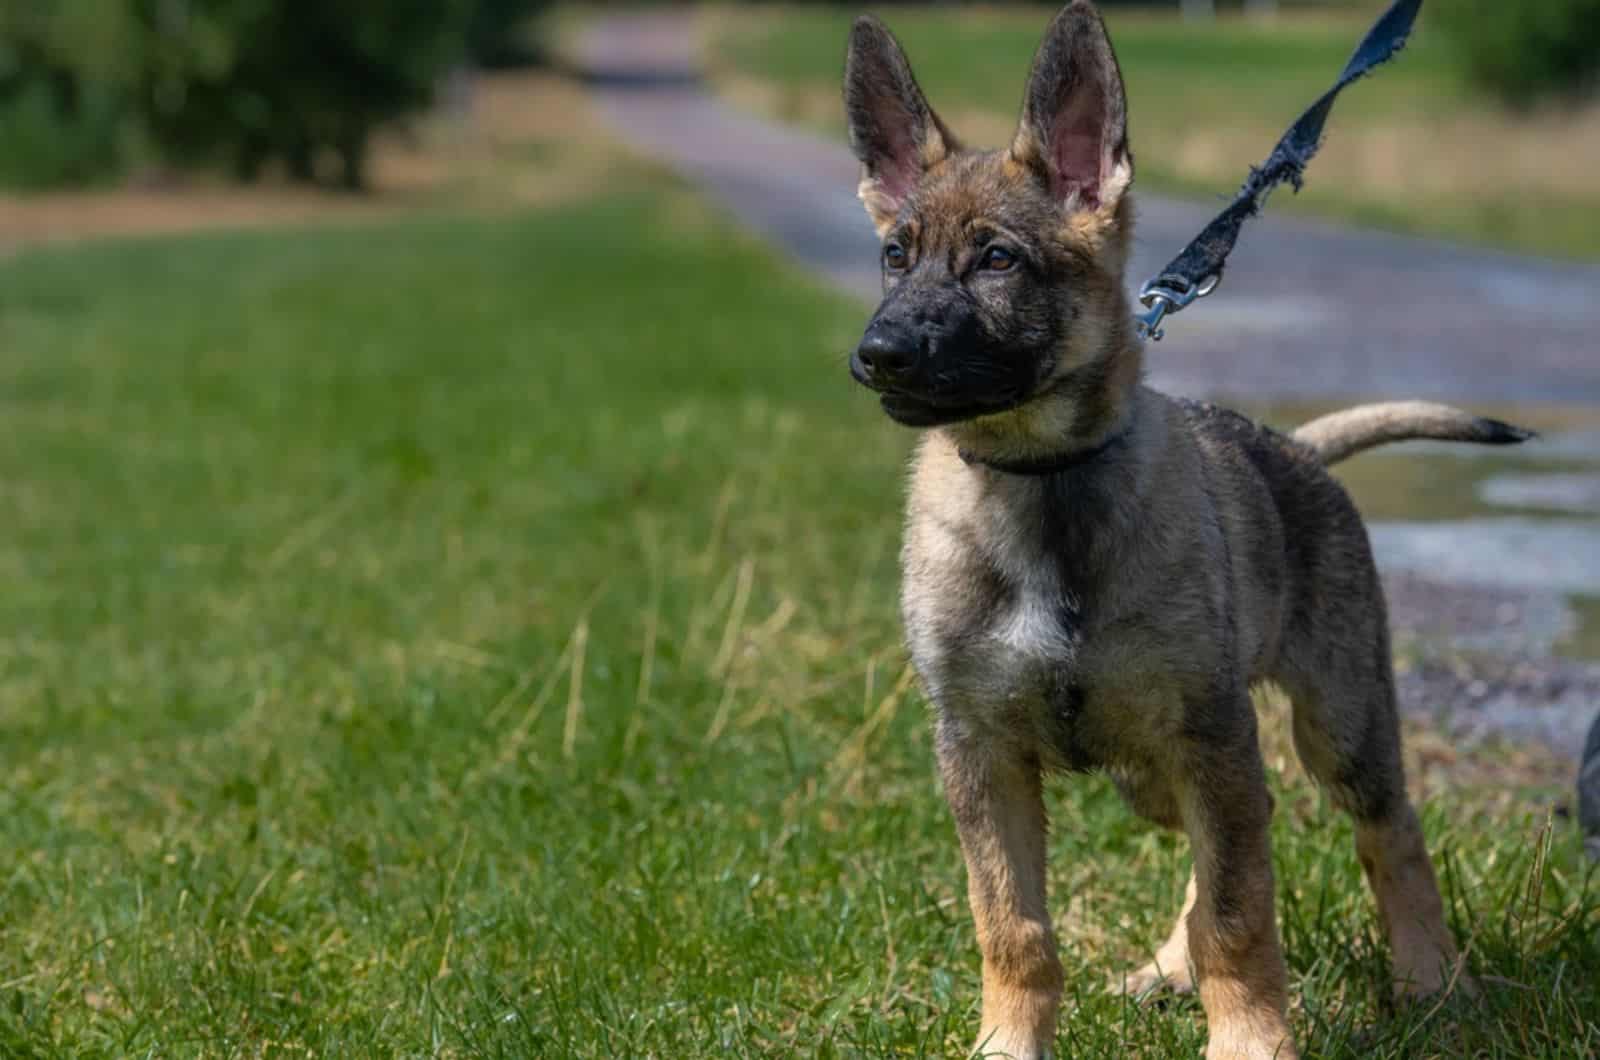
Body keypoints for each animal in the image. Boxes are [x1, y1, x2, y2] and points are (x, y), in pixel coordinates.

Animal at [838, 4, 1523, 1056]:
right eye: (895, 255)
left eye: (998, 259)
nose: (877, 356)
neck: (1044, 485)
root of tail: (1298, 450)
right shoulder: (979, 750)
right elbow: (1014, 923)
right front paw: (1009, 1042)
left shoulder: (1207, 730)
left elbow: (1242, 911)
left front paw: (1249, 1040)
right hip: (1157, 769)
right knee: (1231, 841)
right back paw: (1170, 968)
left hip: (1334, 722)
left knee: (1384, 830)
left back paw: (1430, 978)